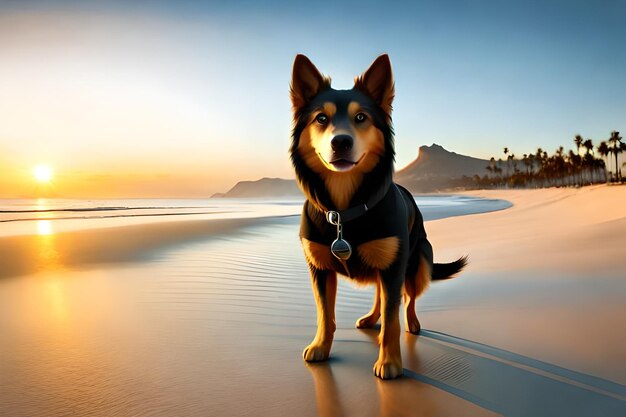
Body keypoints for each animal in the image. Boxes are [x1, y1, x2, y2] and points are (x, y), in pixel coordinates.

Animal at [288, 53, 464, 378]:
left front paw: (390, 362)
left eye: (361, 118)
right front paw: (321, 346)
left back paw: (413, 323)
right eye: (321, 118)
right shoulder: (319, 268)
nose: (341, 142)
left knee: (407, 299)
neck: (344, 211)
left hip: (417, 259)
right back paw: (371, 319)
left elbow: (393, 318)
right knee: (380, 296)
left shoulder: (394, 265)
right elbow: (324, 313)